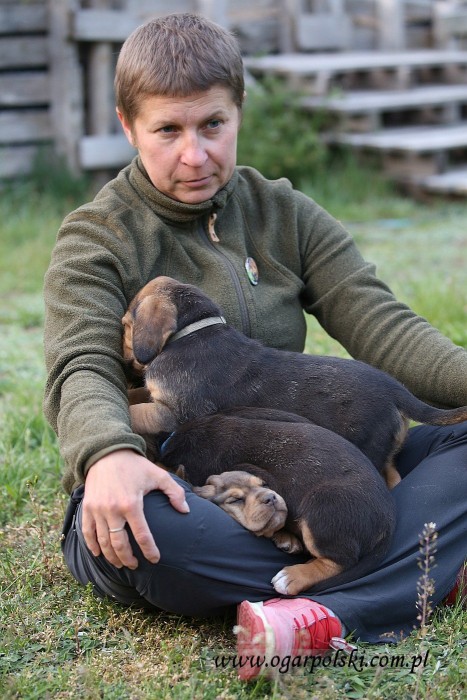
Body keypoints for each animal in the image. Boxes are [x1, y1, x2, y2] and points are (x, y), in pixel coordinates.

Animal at [122, 274, 467, 486]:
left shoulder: (173, 412)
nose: (124, 355)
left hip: (367, 446)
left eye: (125, 324)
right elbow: (136, 396)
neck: (192, 331)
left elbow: (137, 412)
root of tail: (396, 390)